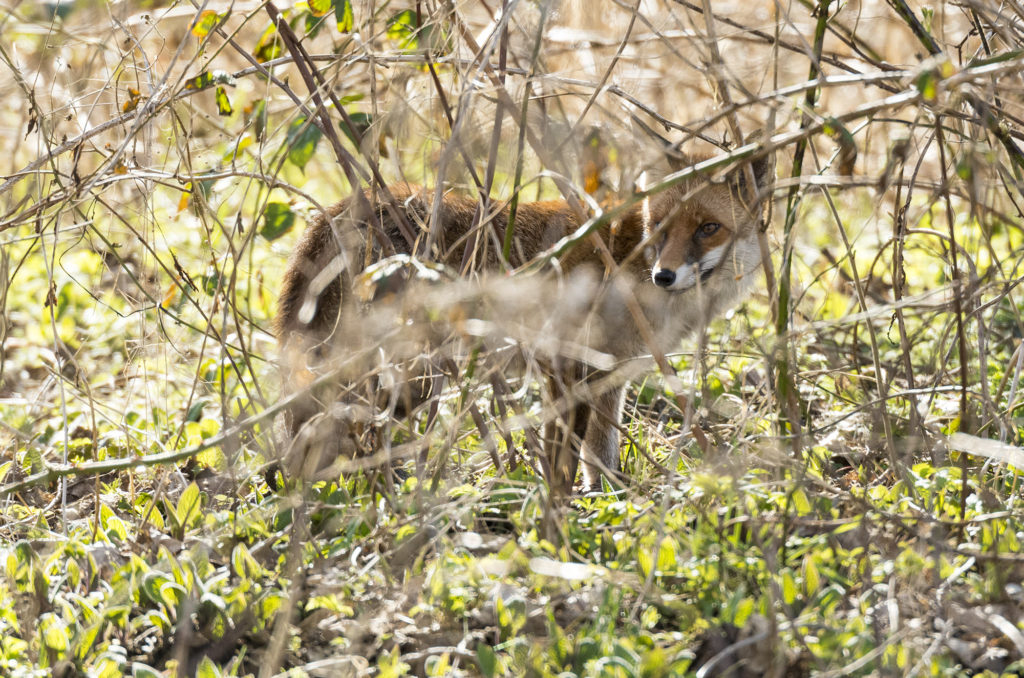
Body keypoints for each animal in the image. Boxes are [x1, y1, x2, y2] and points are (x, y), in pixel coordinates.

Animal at [276, 152, 770, 493]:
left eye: (708, 228)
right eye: (662, 228)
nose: (664, 275)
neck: (629, 257)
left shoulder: (610, 376)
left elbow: (601, 456)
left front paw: (607, 501)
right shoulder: (566, 366)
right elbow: (567, 457)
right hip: (412, 379)